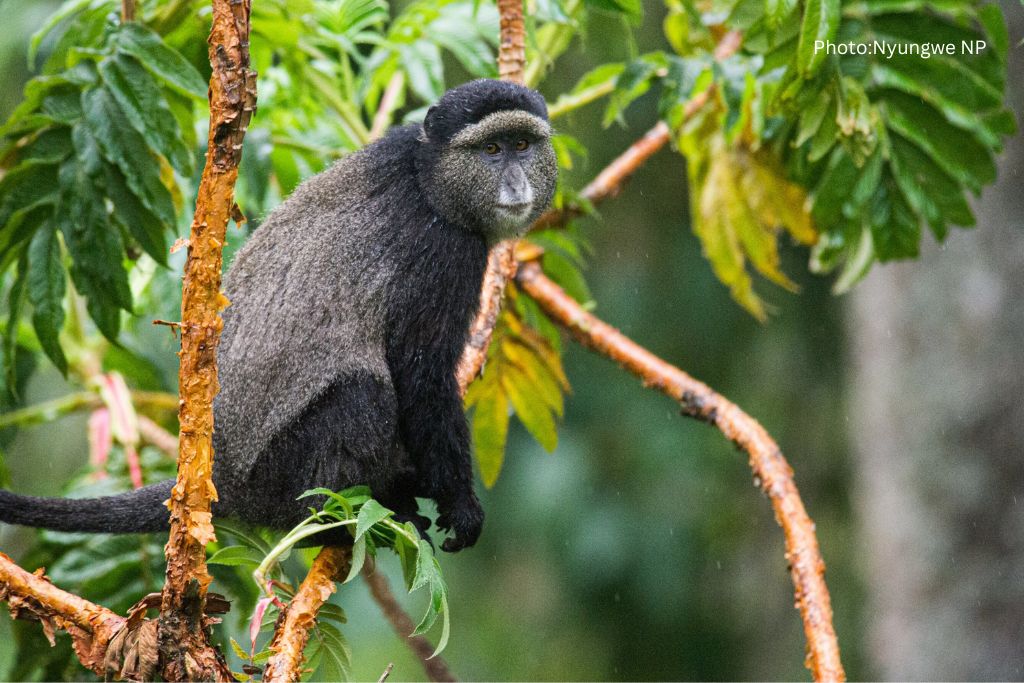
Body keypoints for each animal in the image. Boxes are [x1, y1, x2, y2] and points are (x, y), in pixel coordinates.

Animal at [0, 77, 557, 552]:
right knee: (362, 394)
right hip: (279, 471)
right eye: (491, 150)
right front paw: (461, 506)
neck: (429, 176)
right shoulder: (444, 256)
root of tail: (220, 479)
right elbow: (422, 377)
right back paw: (331, 521)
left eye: (523, 146)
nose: (515, 184)